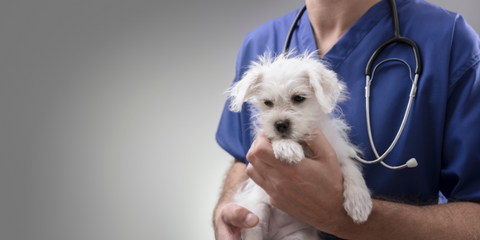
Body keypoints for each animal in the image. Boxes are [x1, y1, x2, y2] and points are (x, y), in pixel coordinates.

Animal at [228, 52, 372, 240]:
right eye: (267, 103)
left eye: (298, 98)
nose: (280, 124)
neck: (302, 141)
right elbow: (275, 139)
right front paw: (286, 146)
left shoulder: (338, 154)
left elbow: (351, 170)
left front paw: (359, 202)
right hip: (256, 213)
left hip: (298, 235)